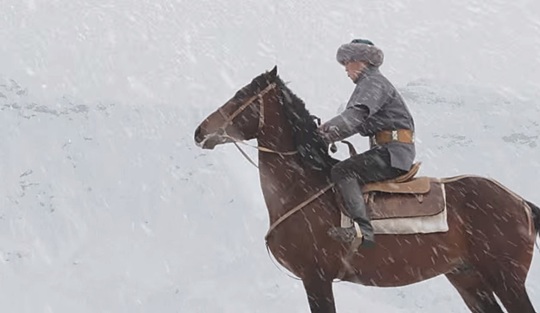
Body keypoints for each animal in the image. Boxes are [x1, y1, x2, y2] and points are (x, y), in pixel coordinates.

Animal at [192, 64, 536, 310]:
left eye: (240, 95)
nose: (200, 131)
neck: (300, 188)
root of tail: (519, 202)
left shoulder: (316, 279)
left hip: (507, 280)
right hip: (468, 279)